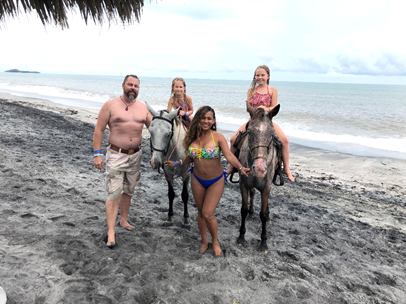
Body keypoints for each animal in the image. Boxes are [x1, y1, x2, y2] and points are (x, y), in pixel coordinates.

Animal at [238, 104, 282, 252]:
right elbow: (243, 210)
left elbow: (262, 214)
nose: (260, 169)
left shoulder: (266, 188)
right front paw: (241, 236)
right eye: (250, 132)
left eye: (272, 134)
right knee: (252, 193)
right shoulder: (243, 184)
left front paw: (263, 242)